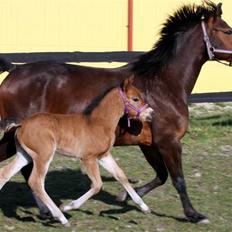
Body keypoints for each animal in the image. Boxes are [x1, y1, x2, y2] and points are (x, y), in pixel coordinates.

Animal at [0, 1, 232, 223]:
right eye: (227, 31)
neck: (162, 85)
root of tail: (14, 70)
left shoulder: (149, 144)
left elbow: (160, 175)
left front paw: (127, 197)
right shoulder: (169, 142)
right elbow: (178, 179)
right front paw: (194, 215)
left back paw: (47, 211)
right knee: (27, 173)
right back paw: (50, 212)